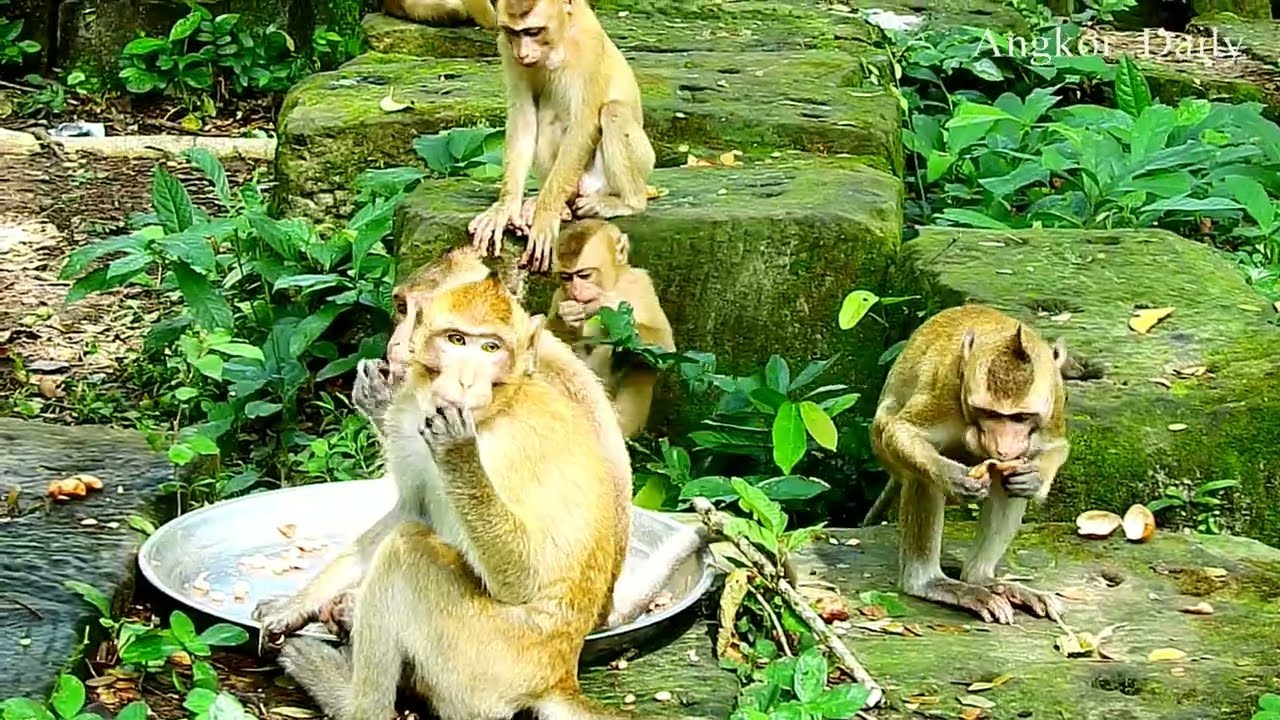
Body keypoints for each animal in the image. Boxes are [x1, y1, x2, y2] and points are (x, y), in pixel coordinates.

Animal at [276, 271, 628, 720]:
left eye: (491, 348)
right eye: (456, 340)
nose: (464, 380)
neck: (499, 407)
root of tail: (558, 674)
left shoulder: (508, 451)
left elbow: (522, 579)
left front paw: (457, 452)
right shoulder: (407, 418)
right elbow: (412, 510)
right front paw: (294, 605)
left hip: (486, 657)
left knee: (405, 554)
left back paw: (353, 702)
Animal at [467, 0, 656, 274]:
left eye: (533, 31)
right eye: (513, 32)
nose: (522, 54)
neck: (558, 42)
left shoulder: (589, 46)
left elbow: (583, 125)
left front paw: (545, 216)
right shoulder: (506, 48)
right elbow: (523, 118)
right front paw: (505, 208)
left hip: (629, 169)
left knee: (612, 111)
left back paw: (628, 203)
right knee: (546, 115)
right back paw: (558, 206)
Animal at [545, 219, 674, 438]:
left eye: (585, 275)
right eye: (566, 277)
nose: (576, 291)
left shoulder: (640, 283)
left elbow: (665, 348)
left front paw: (608, 304)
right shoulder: (559, 295)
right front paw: (565, 318)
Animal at [867, 303, 1069, 625]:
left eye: (1021, 417)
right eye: (989, 413)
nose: (1003, 447)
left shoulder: (1055, 402)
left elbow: (1056, 447)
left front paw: (1033, 478)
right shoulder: (944, 389)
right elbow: (903, 432)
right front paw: (954, 478)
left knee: (1005, 483)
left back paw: (981, 578)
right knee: (920, 476)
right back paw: (929, 583)